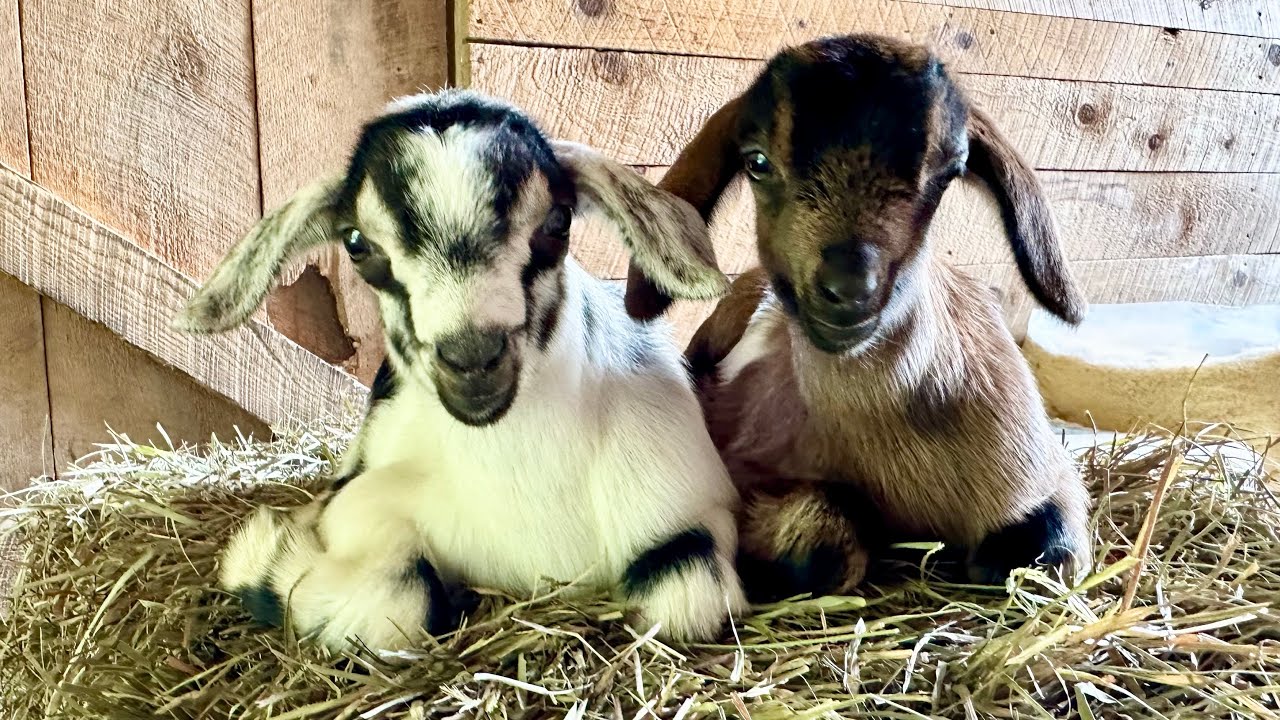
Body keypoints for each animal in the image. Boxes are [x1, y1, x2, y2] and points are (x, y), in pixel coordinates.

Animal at [175, 90, 746, 650]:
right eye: (356, 244)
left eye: (558, 222)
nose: (471, 357)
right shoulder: (359, 505)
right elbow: (397, 596)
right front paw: (270, 543)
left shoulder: (693, 505)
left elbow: (688, 596)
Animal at [623, 34, 1092, 600]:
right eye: (756, 161)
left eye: (949, 172)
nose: (849, 289)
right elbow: (816, 544)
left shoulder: (1044, 472)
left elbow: (1048, 552)